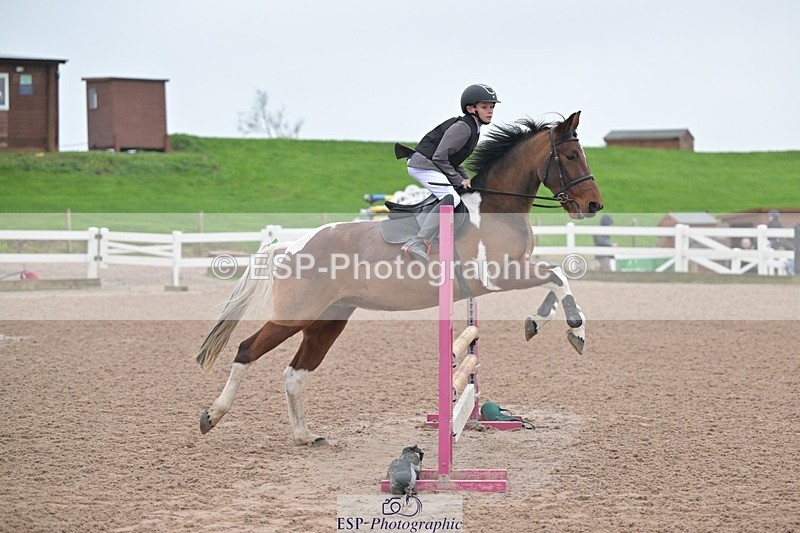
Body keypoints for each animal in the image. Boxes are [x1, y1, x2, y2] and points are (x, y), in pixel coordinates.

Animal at [196, 111, 603, 446]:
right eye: (570, 156)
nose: (593, 205)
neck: (496, 206)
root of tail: (292, 246)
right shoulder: (498, 275)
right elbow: (556, 276)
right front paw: (572, 330)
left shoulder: (518, 267)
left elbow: (556, 277)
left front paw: (542, 323)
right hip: (294, 315)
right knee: (246, 350)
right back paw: (211, 416)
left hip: (328, 321)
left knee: (294, 374)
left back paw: (305, 436)